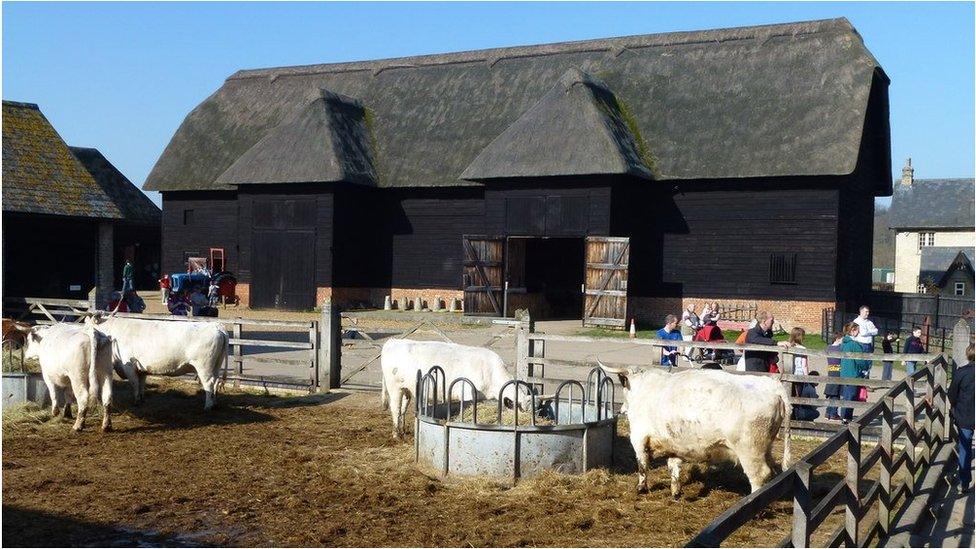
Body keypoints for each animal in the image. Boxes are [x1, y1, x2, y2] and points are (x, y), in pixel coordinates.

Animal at [84, 314, 229, 408]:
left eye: (86, 327)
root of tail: (216, 326)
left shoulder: (129, 366)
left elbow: (135, 383)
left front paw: (136, 401)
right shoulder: (141, 368)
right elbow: (141, 384)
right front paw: (141, 399)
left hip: (204, 366)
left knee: (209, 383)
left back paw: (207, 406)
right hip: (216, 365)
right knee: (216, 382)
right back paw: (215, 403)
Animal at [382, 338, 532, 436]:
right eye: (521, 409)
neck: (491, 372)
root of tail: (394, 341)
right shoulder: (467, 394)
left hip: (406, 389)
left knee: (402, 409)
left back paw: (402, 430)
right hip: (394, 387)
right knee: (395, 409)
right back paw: (396, 434)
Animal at [600, 364, 788, 496]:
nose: (621, 410)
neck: (644, 389)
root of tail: (773, 387)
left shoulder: (638, 437)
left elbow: (642, 464)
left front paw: (641, 488)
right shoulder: (675, 442)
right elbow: (673, 465)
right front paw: (675, 491)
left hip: (749, 450)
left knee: (759, 475)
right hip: (766, 447)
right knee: (772, 471)